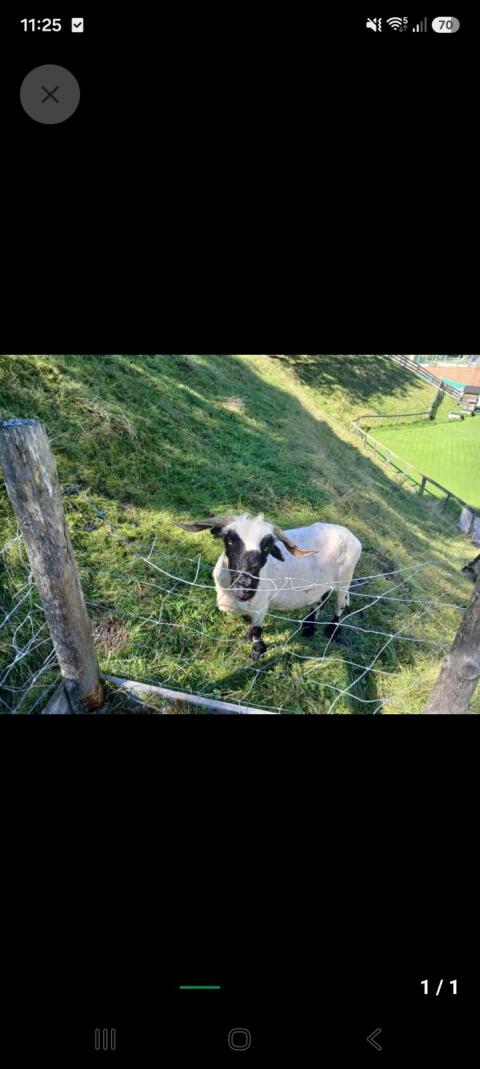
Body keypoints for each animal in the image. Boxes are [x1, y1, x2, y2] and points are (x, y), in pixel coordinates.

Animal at [176, 512, 362, 660]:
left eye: (267, 546)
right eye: (229, 540)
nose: (245, 587)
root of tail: (351, 535)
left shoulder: (261, 605)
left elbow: (257, 629)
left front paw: (257, 652)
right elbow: (247, 622)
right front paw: (247, 639)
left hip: (345, 579)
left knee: (340, 605)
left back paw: (331, 631)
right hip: (321, 583)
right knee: (321, 600)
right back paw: (308, 627)